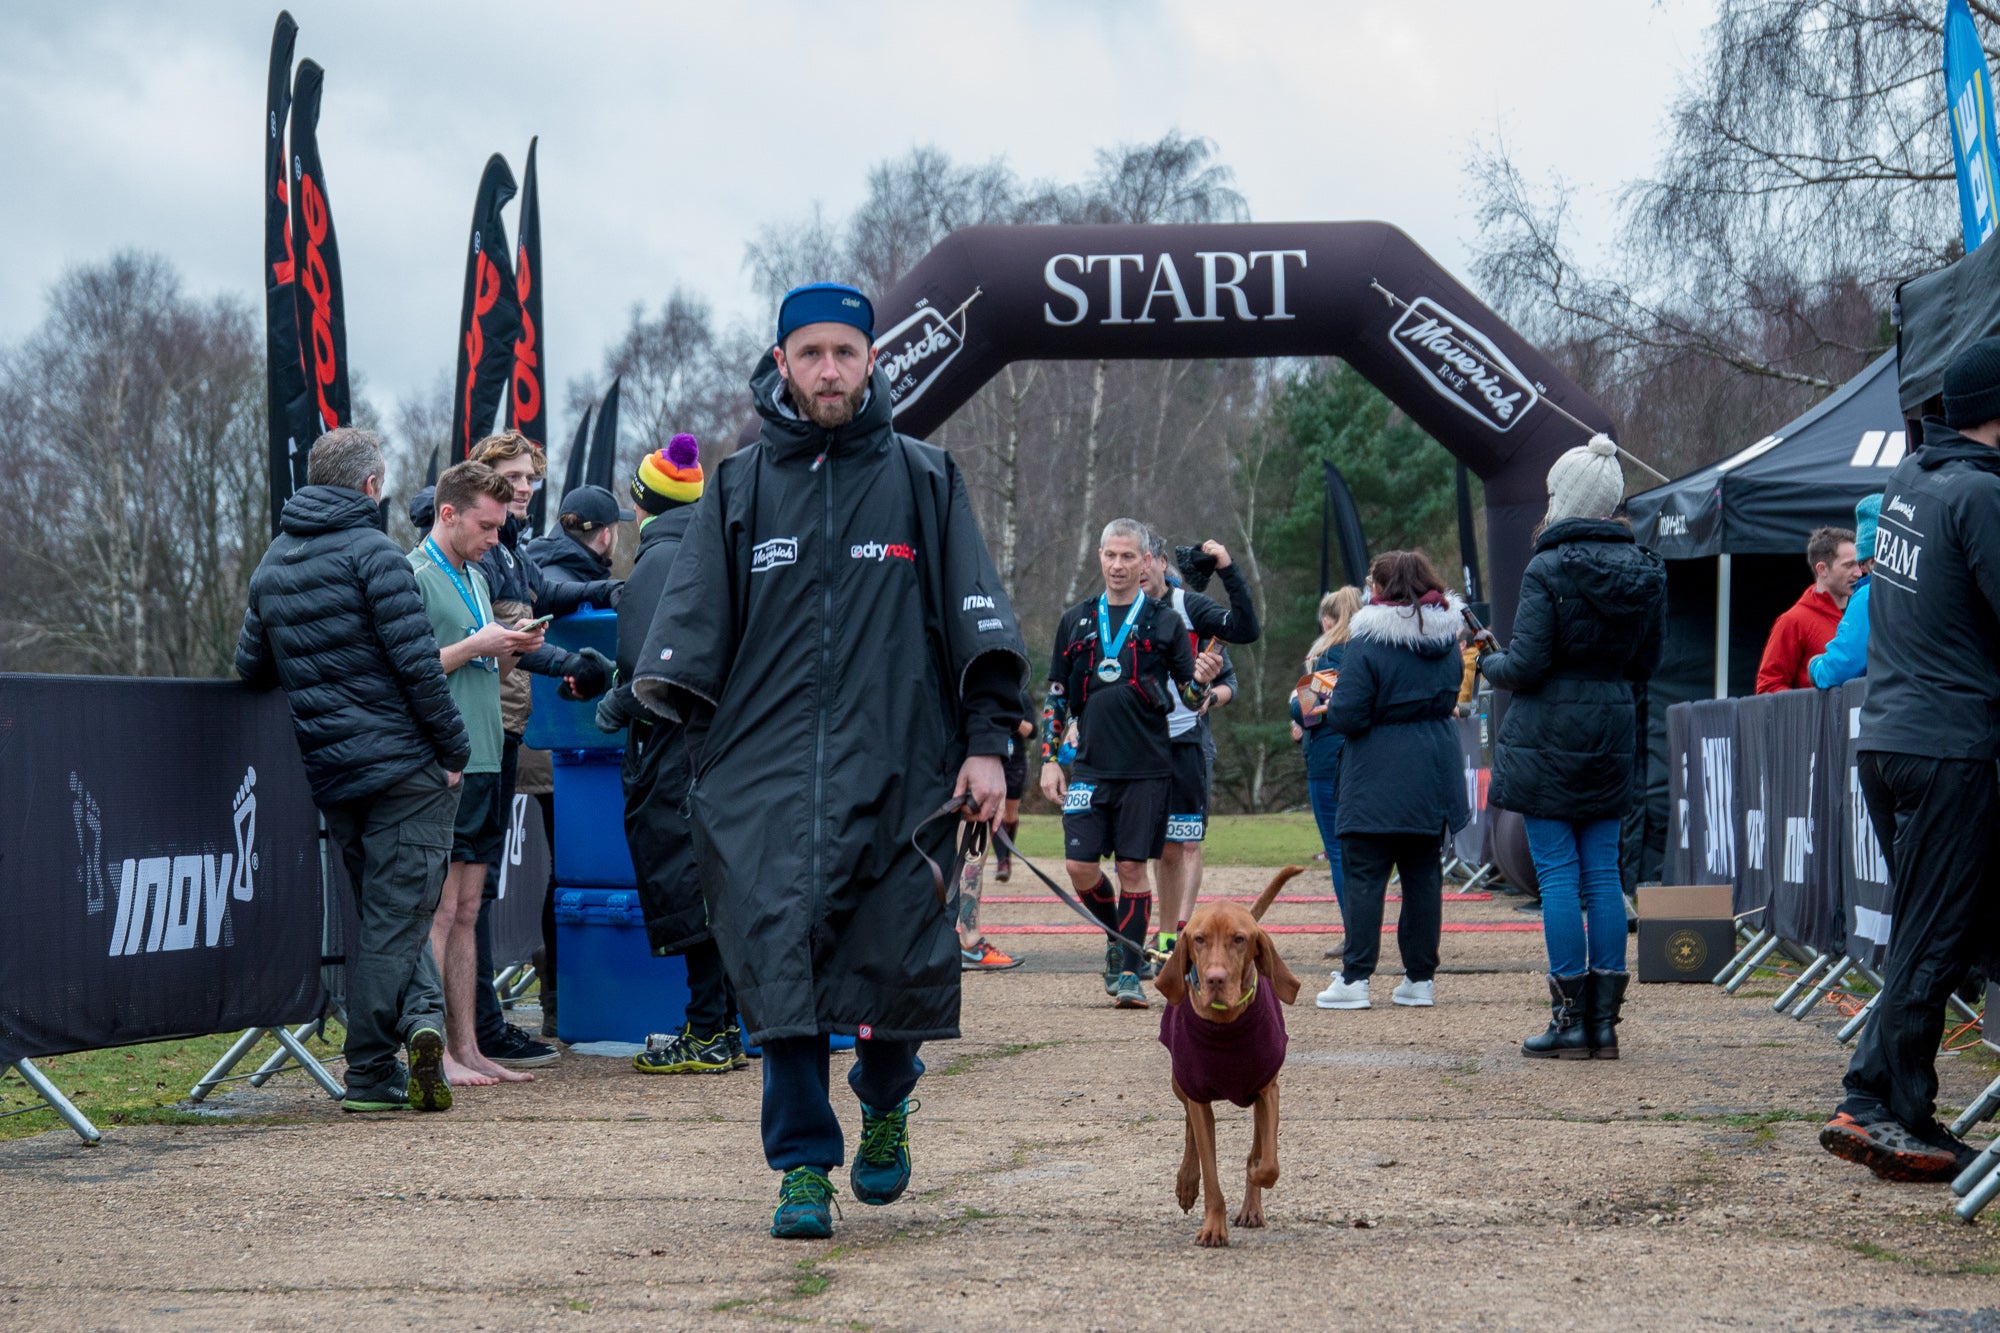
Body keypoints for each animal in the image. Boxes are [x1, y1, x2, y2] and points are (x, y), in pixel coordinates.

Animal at [1152, 868, 1304, 1240]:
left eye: (1239, 939)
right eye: (1199, 939)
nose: (1215, 979)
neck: (1226, 1021)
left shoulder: (1267, 1092)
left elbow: (1266, 1163)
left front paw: (1253, 1181)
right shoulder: (1197, 1095)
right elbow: (1211, 1174)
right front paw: (1212, 1228)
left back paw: (1251, 1208)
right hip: (1179, 1084)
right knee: (1189, 1127)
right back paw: (1186, 1182)